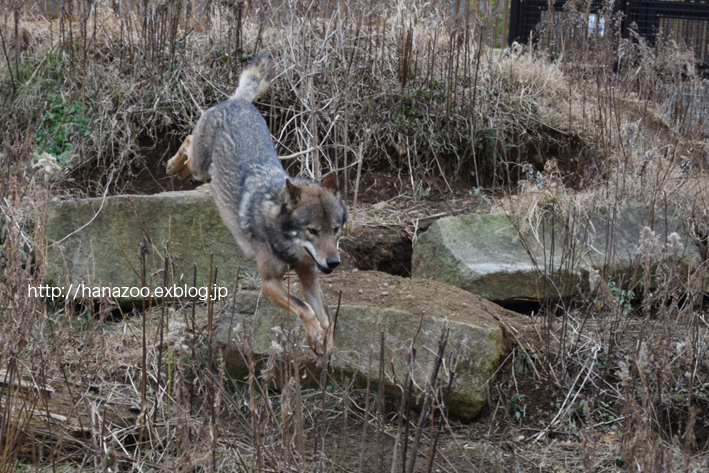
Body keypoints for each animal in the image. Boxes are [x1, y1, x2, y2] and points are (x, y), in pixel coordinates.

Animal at [169, 55, 352, 366]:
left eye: (335, 230)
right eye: (313, 231)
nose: (333, 263)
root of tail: (237, 102)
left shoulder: (309, 275)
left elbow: (326, 316)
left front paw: (324, 344)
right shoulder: (268, 283)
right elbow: (304, 308)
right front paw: (315, 336)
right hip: (201, 166)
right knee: (188, 142)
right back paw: (172, 166)